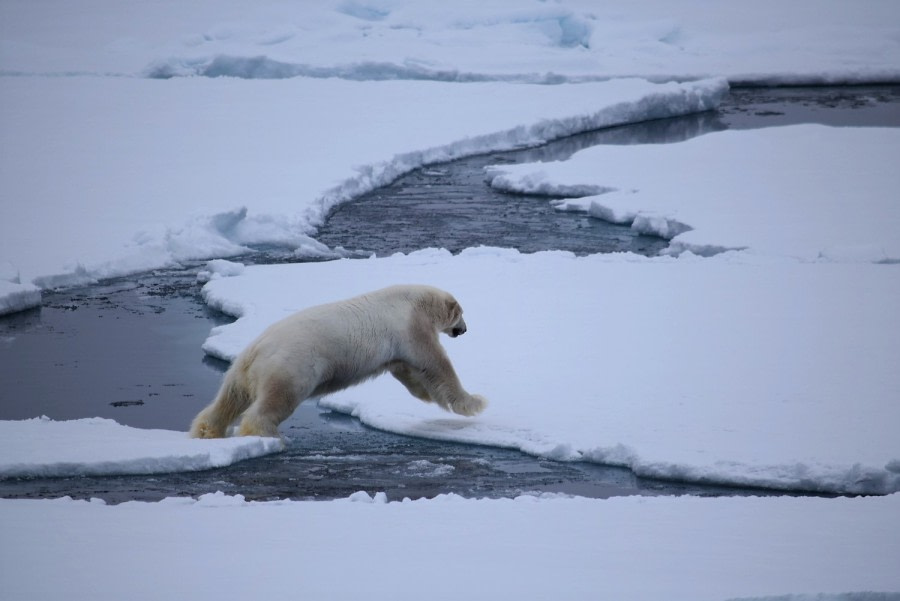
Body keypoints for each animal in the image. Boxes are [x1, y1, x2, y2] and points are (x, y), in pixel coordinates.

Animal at [188, 284, 486, 438]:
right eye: (461, 314)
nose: (465, 329)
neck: (418, 301)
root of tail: (256, 349)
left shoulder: (398, 346)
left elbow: (408, 371)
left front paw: (424, 394)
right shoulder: (411, 325)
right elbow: (435, 365)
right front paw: (475, 403)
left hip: (239, 369)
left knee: (229, 398)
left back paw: (206, 430)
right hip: (291, 367)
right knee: (276, 400)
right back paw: (266, 434)